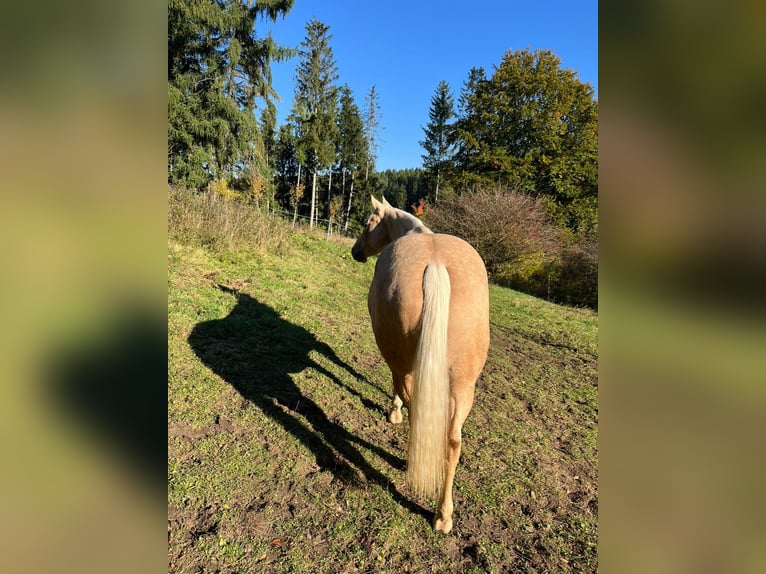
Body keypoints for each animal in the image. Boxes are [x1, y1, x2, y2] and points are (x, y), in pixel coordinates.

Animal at [351, 196, 490, 534]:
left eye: (367, 223)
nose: (355, 252)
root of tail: (435, 265)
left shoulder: (397, 365)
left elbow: (395, 391)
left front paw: (394, 413)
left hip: (410, 368)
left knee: (418, 416)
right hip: (464, 385)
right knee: (453, 441)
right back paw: (443, 516)